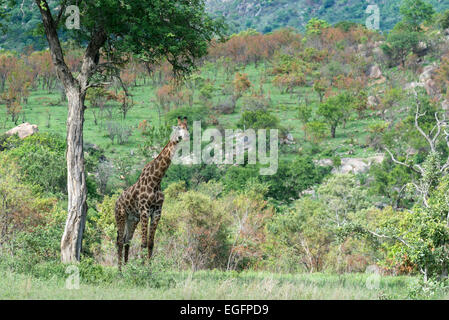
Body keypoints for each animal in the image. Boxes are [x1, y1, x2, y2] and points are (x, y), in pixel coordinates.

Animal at [114, 116, 188, 268]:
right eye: (179, 128)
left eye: (187, 127)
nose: (186, 136)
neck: (156, 180)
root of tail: (116, 203)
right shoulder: (144, 210)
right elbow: (143, 243)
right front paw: (142, 269)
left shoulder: (157, 212)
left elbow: (151, 243)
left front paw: (149, 269)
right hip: (121, 216)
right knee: (119, 241)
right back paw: (119, 269)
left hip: (132, 219)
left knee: (126, 240)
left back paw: (126, 267)